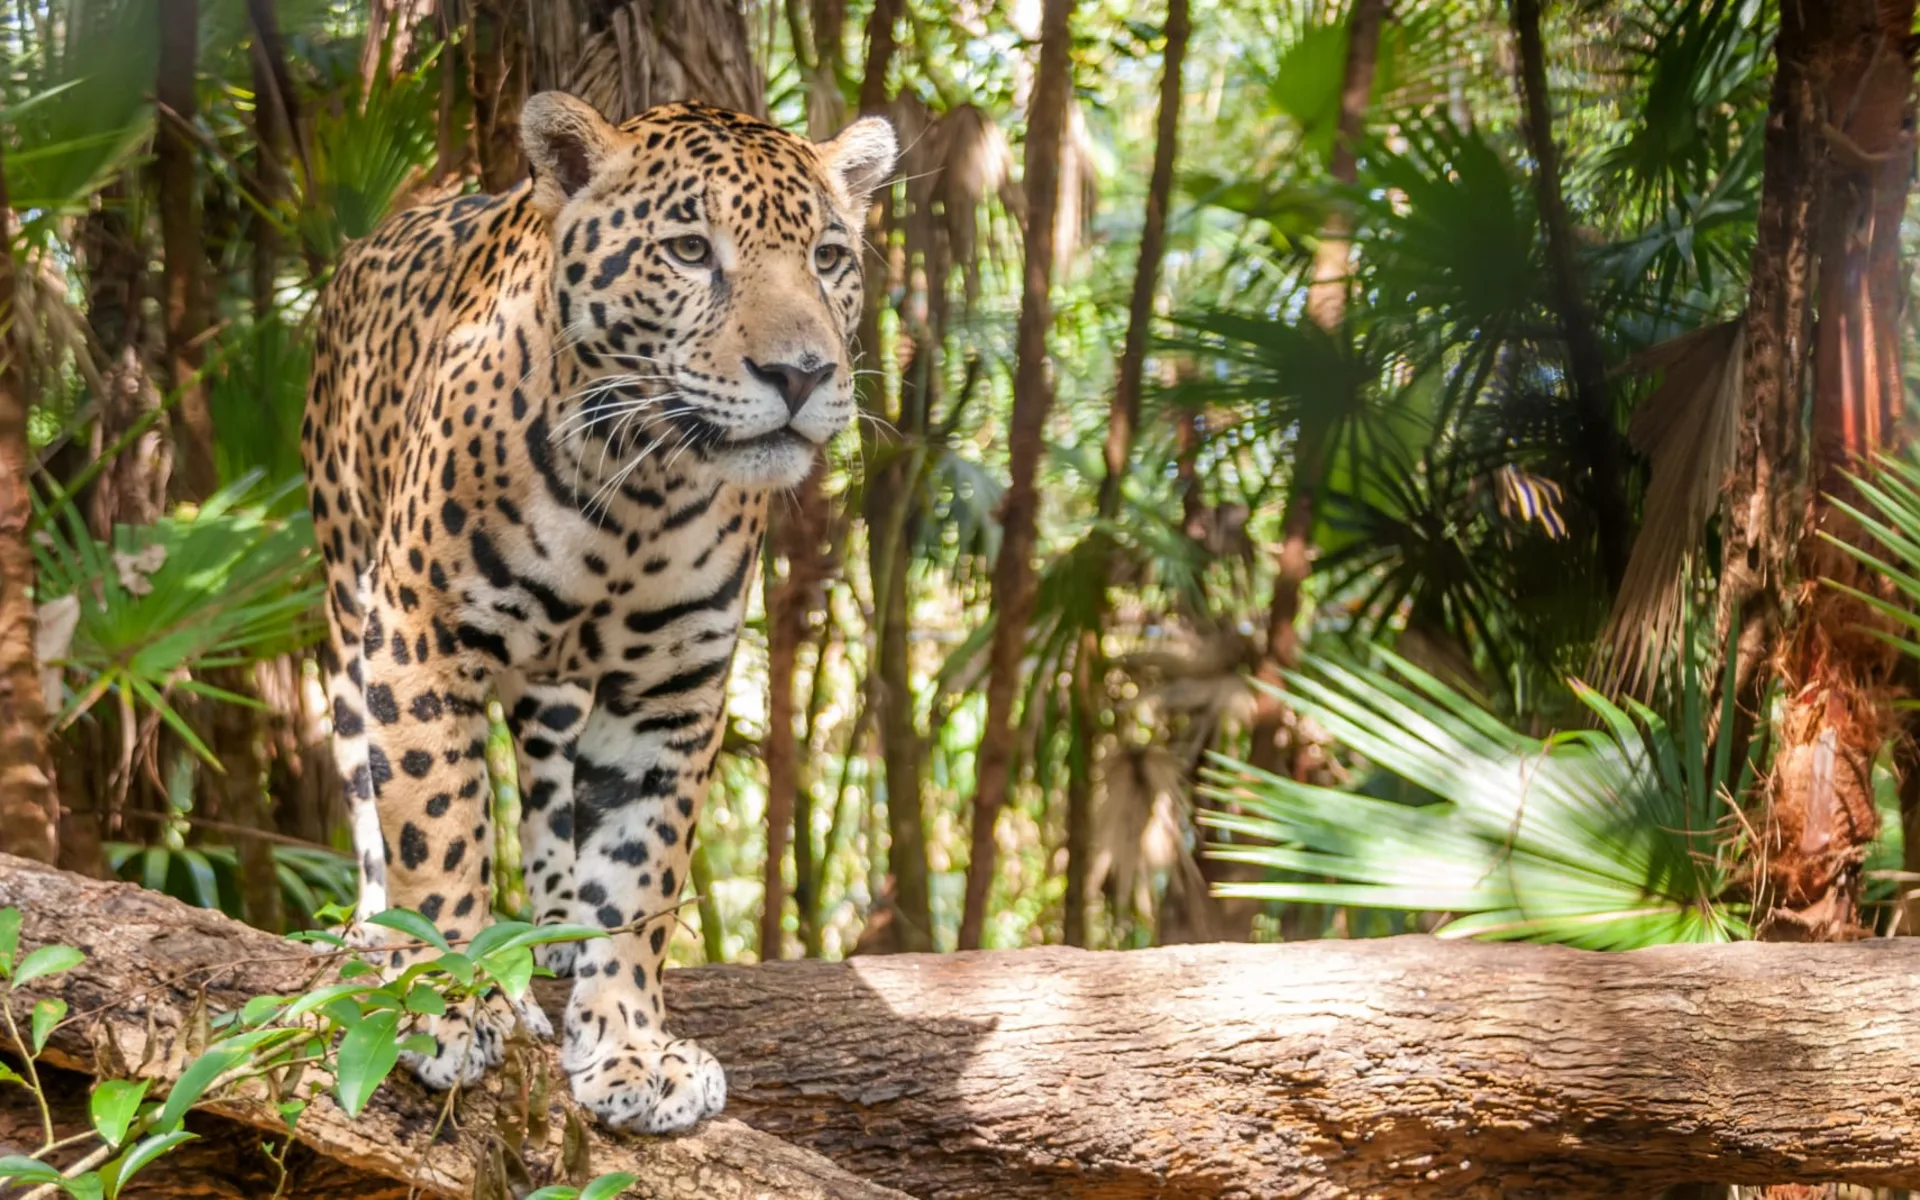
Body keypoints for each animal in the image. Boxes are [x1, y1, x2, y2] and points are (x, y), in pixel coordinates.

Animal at [300, 89, 895, 1134]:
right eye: (691, 250)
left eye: (828, 256)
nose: (802, 375)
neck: (639, 491)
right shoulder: (419, 635)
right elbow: (437, 823)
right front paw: (445, 1004)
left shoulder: (672, 691)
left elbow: (638, 868)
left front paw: (631, 1044)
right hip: (346, 601)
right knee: (369, 791)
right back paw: (378, 933)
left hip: (553, 685)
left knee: (545, 784)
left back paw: (551, 930)